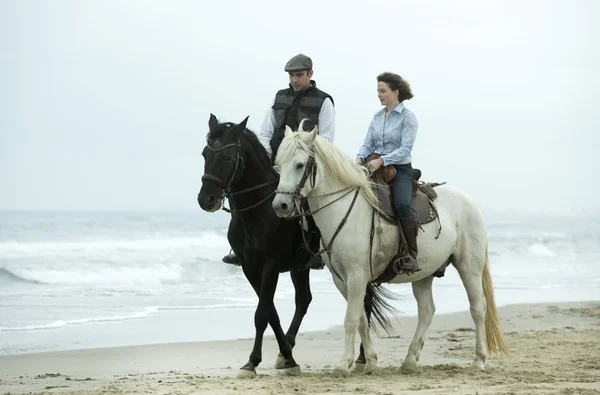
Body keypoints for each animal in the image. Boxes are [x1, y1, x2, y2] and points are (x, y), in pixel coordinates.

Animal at [197, 113, 398, 378]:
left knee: (361, 303)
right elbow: (270, 312)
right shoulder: (250, 268)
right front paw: (286, 356)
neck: (257, 212)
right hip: (300, 269)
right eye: (205, 154)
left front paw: (252, 362)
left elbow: (262, 313)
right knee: (305, 300)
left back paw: (363, 358)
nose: (206, 199)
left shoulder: (270, 267)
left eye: (228, 157)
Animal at [272, 125, 506, 376]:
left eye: (300, 164)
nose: (280, 206)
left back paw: (479, 359)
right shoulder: (342, 280)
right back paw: (410, 361)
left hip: (469, 266)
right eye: (278, 165)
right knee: (427, 311)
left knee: (478, 307)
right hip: (423, 273)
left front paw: (344, 364)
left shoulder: (357, 277)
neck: (344, 210)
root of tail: (471, 203)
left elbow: (350, 319)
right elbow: (361, 319)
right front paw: (371, 362)